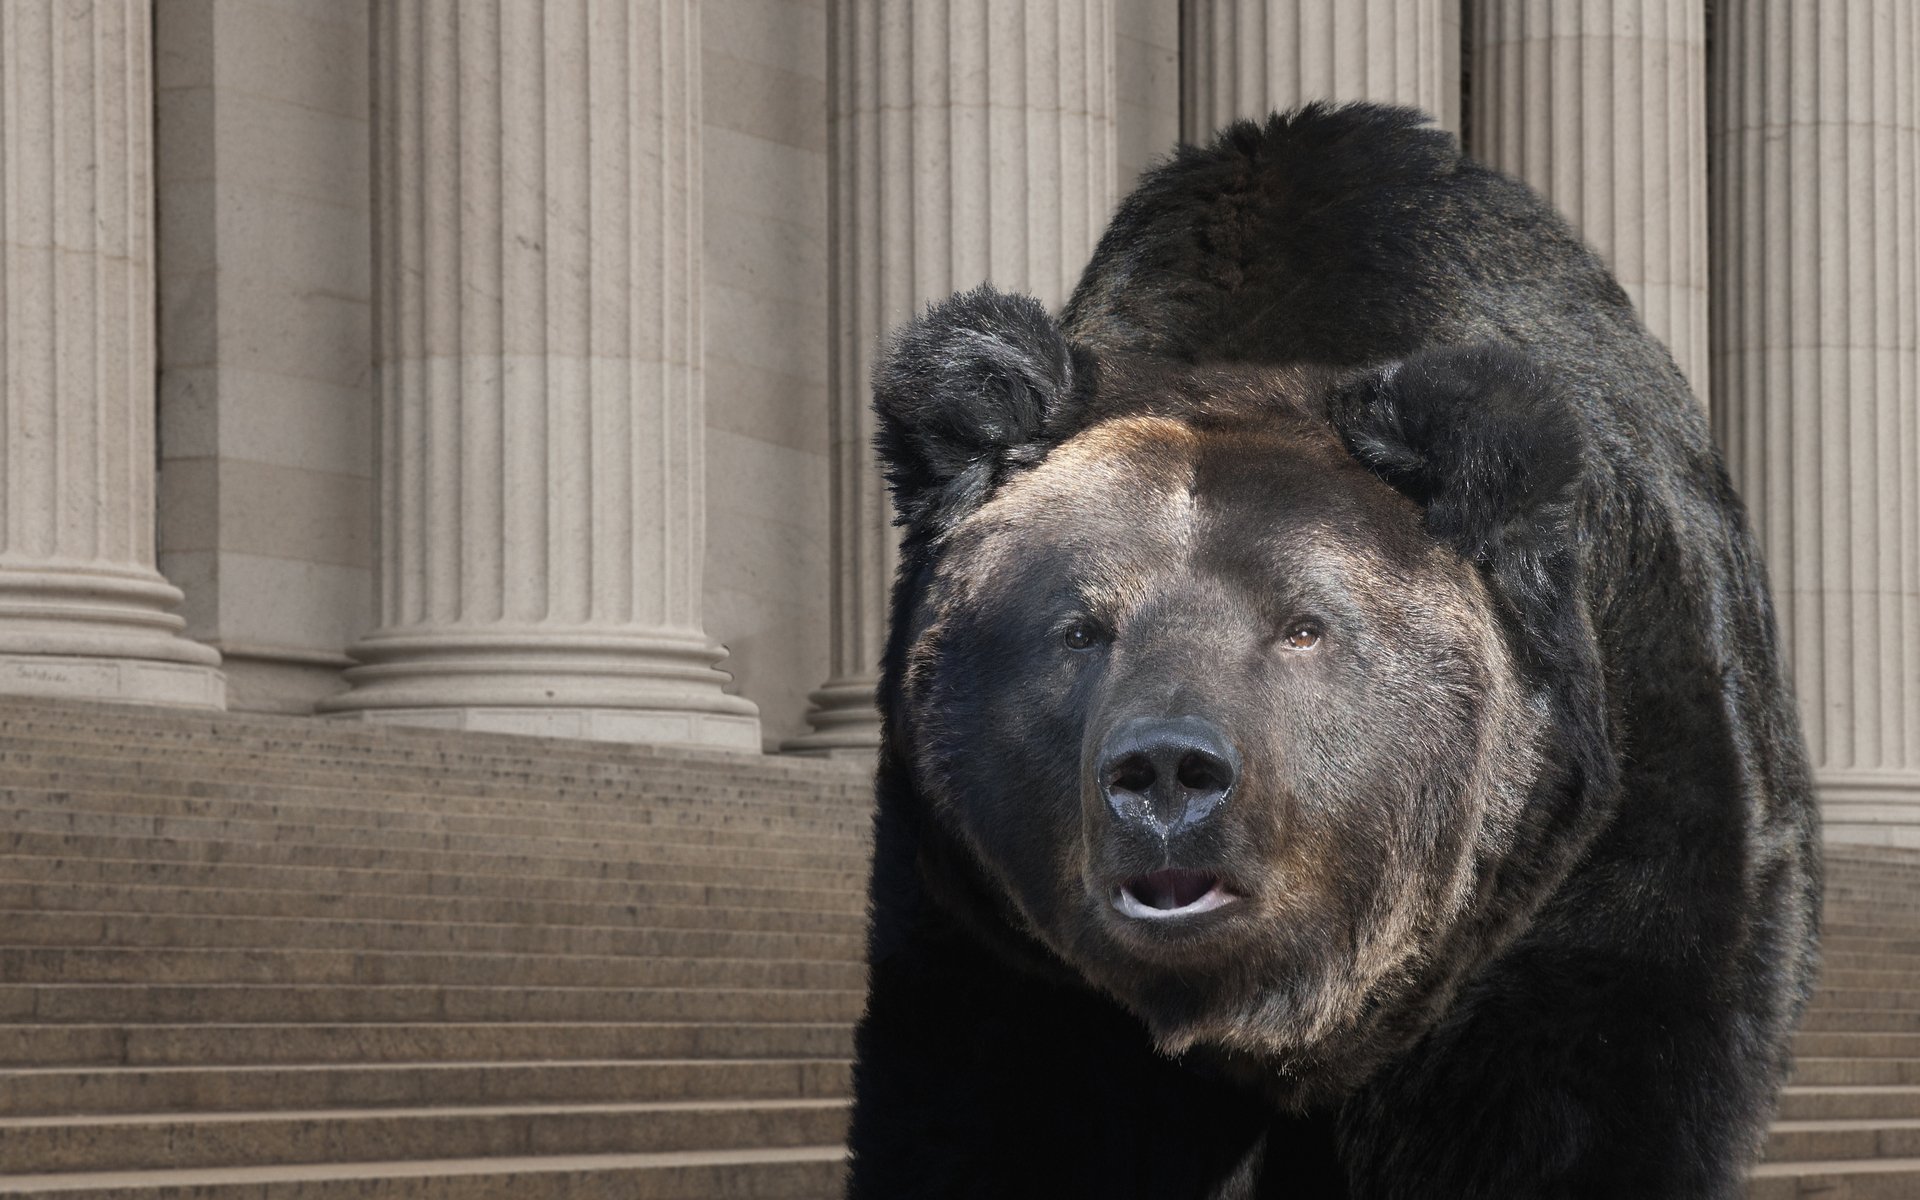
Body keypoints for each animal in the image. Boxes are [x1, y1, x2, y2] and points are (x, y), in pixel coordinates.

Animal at [846, 104, 1821, 1199]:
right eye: (1079, 626)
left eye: (1303, 625)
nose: (1168, 771)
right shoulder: (998, 935)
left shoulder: (1608, 863)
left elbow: (1584, 1105)